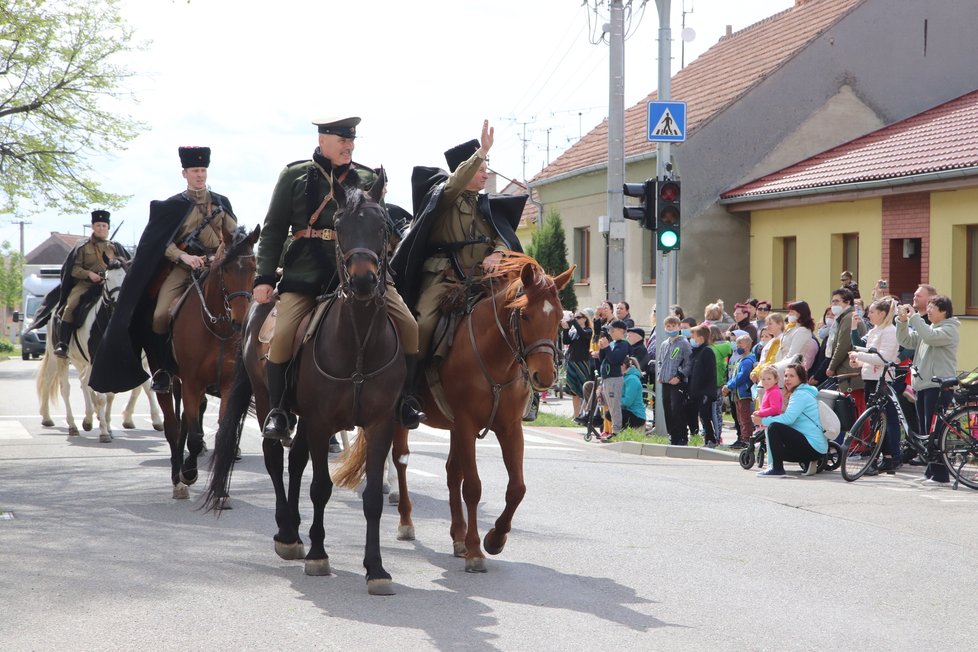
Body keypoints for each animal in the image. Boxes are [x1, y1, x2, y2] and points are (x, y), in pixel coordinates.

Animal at [36, 260, 164, 444]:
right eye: (107, 279)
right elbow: (103, 395)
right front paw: (104, 431)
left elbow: (128, 390)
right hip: (59, 357)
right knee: (61, 386)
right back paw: (65, 423)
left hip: (80, 360)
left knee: (83, 381)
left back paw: (88, 419)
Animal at [154, 224, 260, 500]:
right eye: (225, 267)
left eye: (254, 266)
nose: (240, 320)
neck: (218, 327)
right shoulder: (192, 383)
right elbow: (193, 434)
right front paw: (189, 473)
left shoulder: (227, 385)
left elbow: (223, 432)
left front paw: (220, 489)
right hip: (169, 382)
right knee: (172, 426)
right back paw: (177, 478)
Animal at [202, 177, 404, 596]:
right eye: (339, 226)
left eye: (382, 226)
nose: (363, 281)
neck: (359, 340)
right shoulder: (323, 422)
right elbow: (321, 487)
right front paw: (318, 554)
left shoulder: (379, 425)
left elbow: (372, 497)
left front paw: (376, 568)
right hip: (270, 402)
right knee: (275, 460)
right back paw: (286, 533)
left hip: (305, 419)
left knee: (294, 463)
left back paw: (294, 530)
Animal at [342, 253, 572, 572]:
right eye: (525, 315)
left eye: (559, 317)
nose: (546, 376)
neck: (495, 359)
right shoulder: (466, 423)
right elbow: (473, 487)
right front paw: (476, 550)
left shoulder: (509, 427)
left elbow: (516, 488)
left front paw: (494, 539)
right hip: (403, 418)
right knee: (401, 461)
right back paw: (407, 521)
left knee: (452, 472)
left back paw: (458, 536)